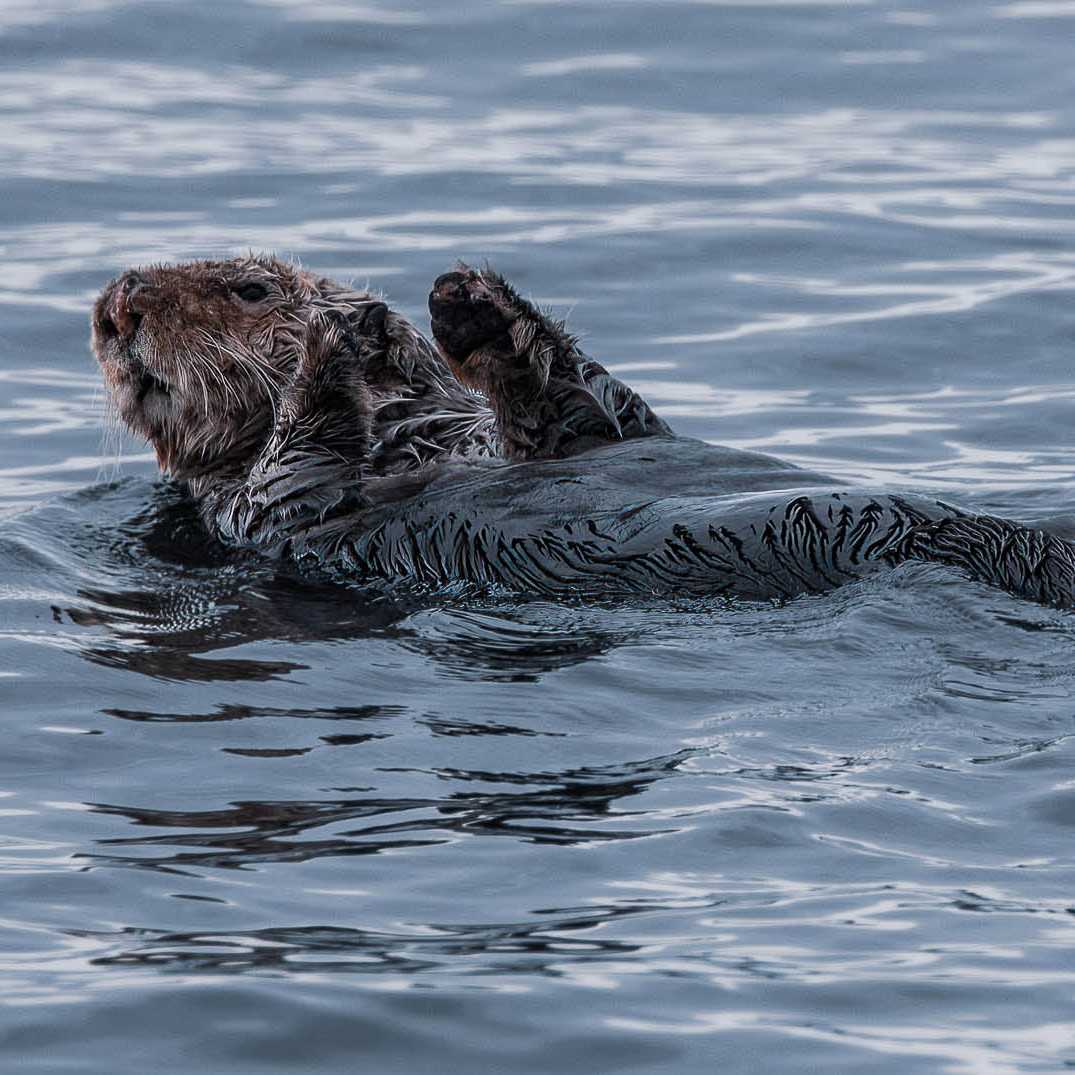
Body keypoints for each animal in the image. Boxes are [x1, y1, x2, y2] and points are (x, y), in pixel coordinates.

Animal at [91, 255, 1075, 606]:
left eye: (248, 287)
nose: (115, 307)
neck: (411, 434)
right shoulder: (259, 514)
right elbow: (296, 471)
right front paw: (332, 342)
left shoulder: (572, 430)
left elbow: (588, 409)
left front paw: (471, 305)